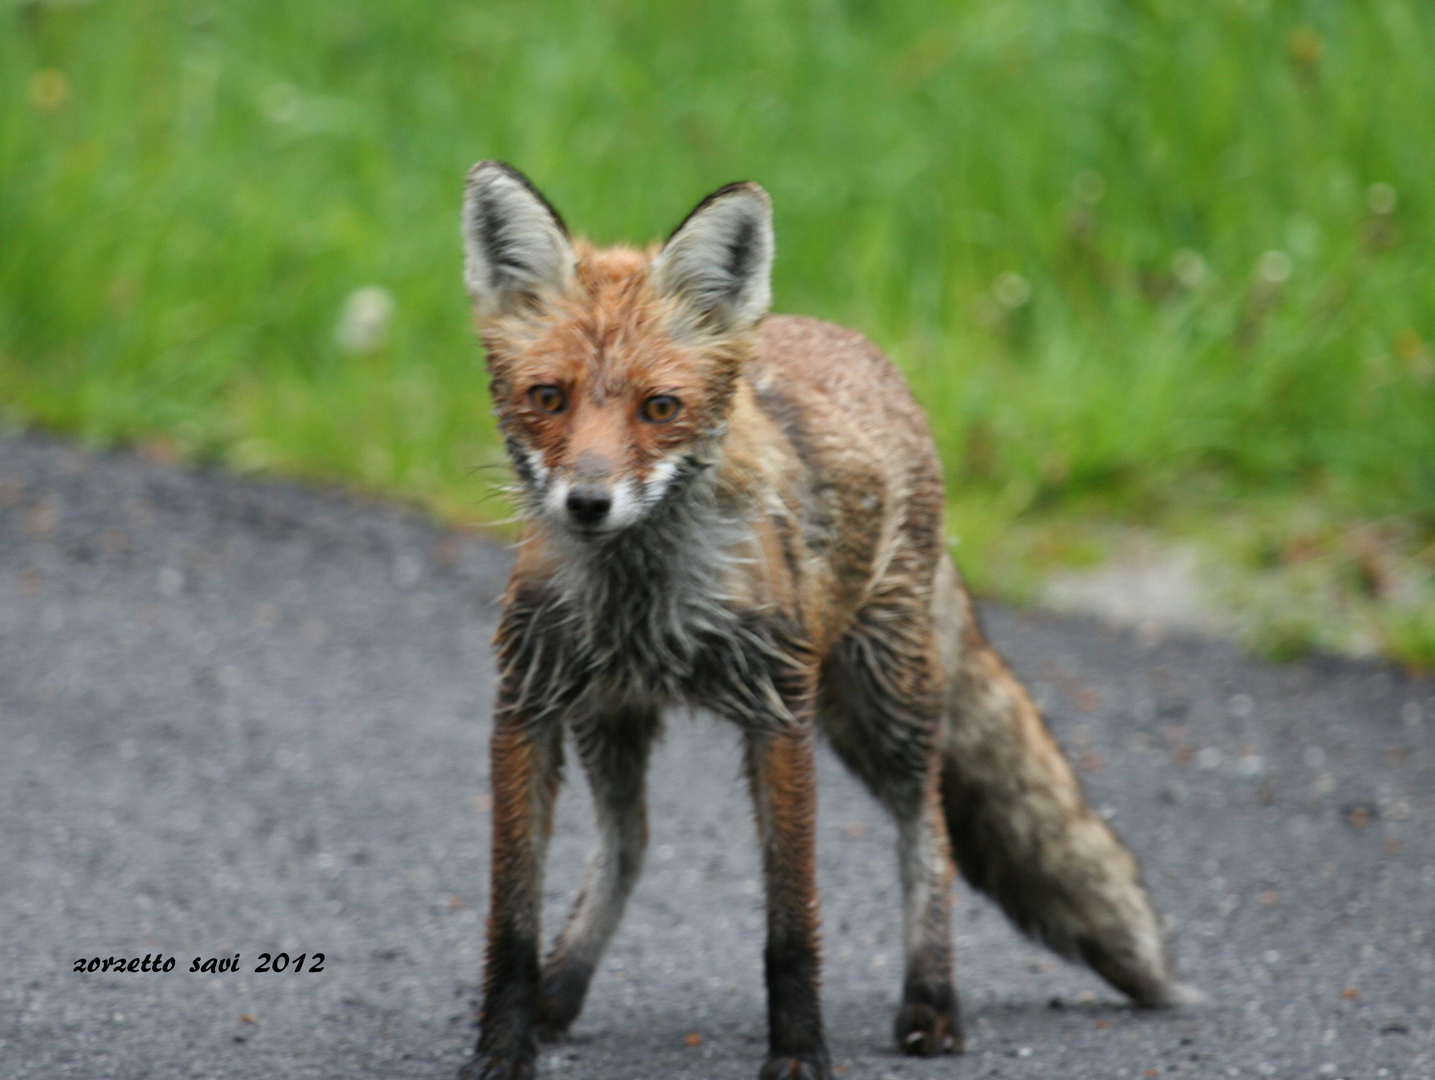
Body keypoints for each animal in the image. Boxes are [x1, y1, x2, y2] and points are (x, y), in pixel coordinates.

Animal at [459, 159, 1199, 1078]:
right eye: (548, 398)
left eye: (659, 408)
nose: (588, 504)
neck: (643, 597)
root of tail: (848, 341)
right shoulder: (525, 708)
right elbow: (511, 920)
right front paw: (503, 1048)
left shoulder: (779, 716)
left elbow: (791, 925)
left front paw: (799, 1054)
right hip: (616, 720)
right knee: (629, 842)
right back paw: (563, 988)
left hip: (883, 705)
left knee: (930, 832)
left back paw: (931, 999)